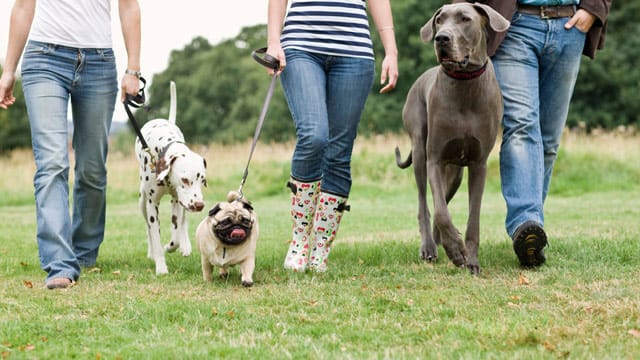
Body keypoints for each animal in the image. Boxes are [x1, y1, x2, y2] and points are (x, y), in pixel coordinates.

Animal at [135, 80, 208, 274]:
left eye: (202, 180)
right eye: (185, 179)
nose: (199, 205)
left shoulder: (178, 200)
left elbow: (175, 234)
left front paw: (172, 246)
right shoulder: (152, 205)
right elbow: (154, 235)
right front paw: (160, 266)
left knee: (183, 222)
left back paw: (185, 245)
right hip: (142, 202)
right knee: (147, 228)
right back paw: (151, 252)